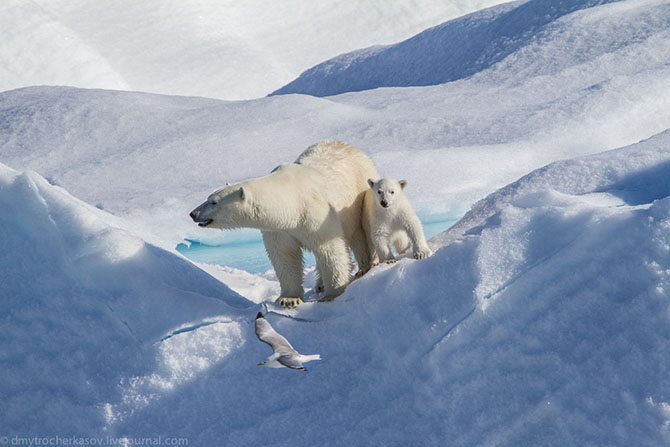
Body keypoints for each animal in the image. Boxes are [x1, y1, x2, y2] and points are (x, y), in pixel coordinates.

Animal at [192, 142, 380, 310]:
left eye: (214, 202)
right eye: (208, 197)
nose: (193, 213)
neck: (291, 204)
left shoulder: (316, 215)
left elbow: (329, 249)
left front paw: (333, 293)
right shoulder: (279, 229)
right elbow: (284, 256)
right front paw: (289, 299)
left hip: (359, 194)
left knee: (360, 232)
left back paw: (365, 266)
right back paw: (319, 284)